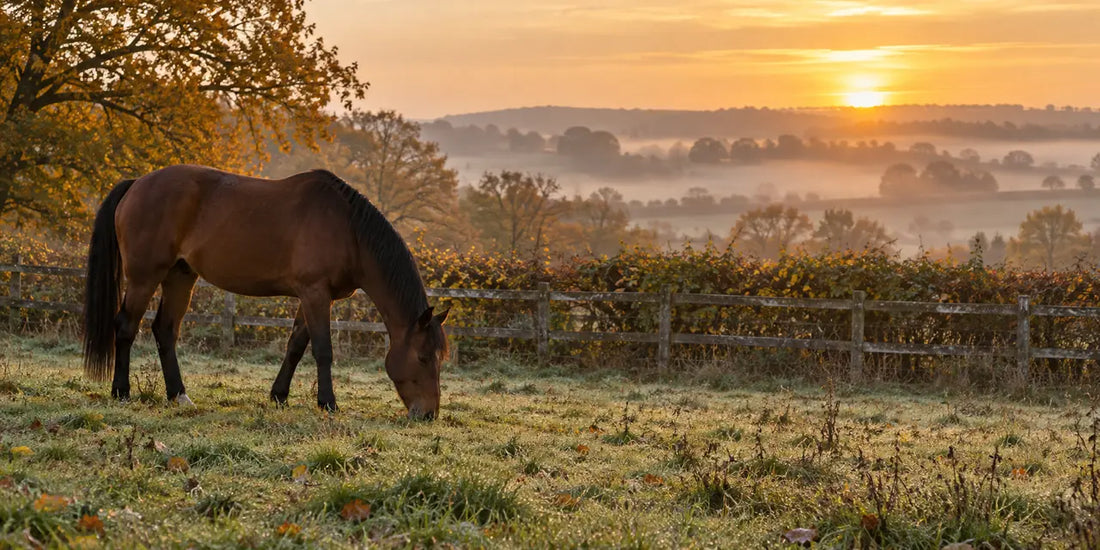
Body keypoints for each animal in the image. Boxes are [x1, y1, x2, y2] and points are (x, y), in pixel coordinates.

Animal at [82, 164, 448, 420]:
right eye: (423, 357)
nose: (428, 414)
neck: (348, 230)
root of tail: (137, 184)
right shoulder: (315, 293)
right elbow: (323, 350)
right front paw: (328, 402)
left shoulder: (313, 296)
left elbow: (296, 346)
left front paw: (278, 395)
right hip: (144, 277)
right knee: (126, 327)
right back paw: (122, 391)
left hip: (180, 276)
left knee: (165, 330)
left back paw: (179, 395)